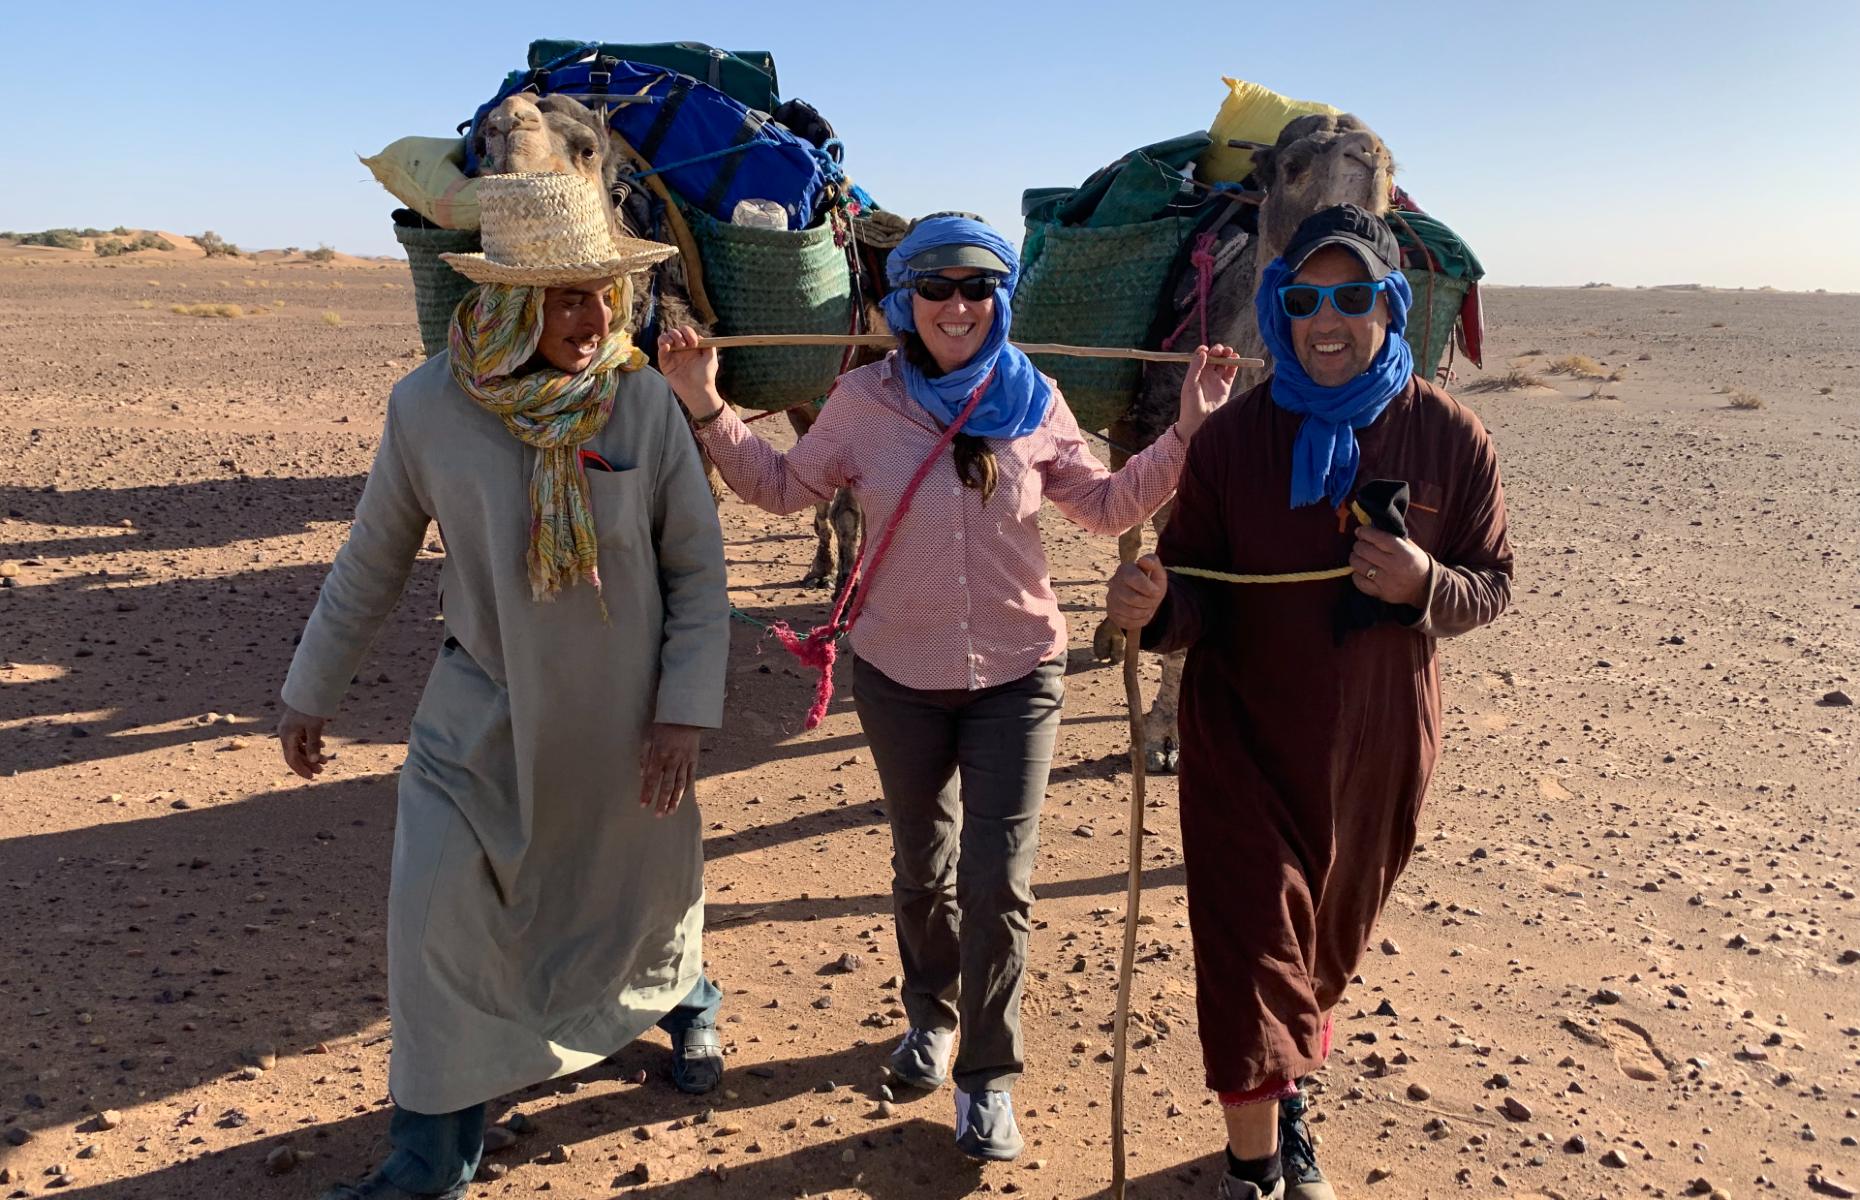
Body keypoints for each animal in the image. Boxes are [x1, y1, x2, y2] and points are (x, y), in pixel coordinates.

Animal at [1093, 109, 1391, 766]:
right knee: (1127, 526)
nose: (1369, 153)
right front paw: (1162, 736)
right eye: (1295, 163)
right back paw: (1115, 633)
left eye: (1393, 163)